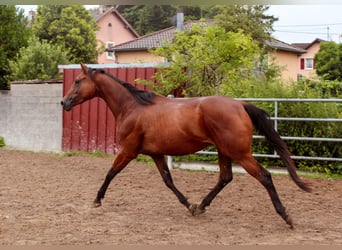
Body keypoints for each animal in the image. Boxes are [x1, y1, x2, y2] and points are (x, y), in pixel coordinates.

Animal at [60, 63, 312, 229]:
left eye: (78, 80)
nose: (64, 102)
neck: (132, 107)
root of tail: (240, 104)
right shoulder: (156, 154)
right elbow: (168, 181)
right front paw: (189, 204)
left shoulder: (128, 151)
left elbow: (110, 173)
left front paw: (96, 200)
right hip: (224, 151)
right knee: (225, 177)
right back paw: (201, 206)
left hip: (239, 153)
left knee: (264, 176)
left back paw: (286, 216)